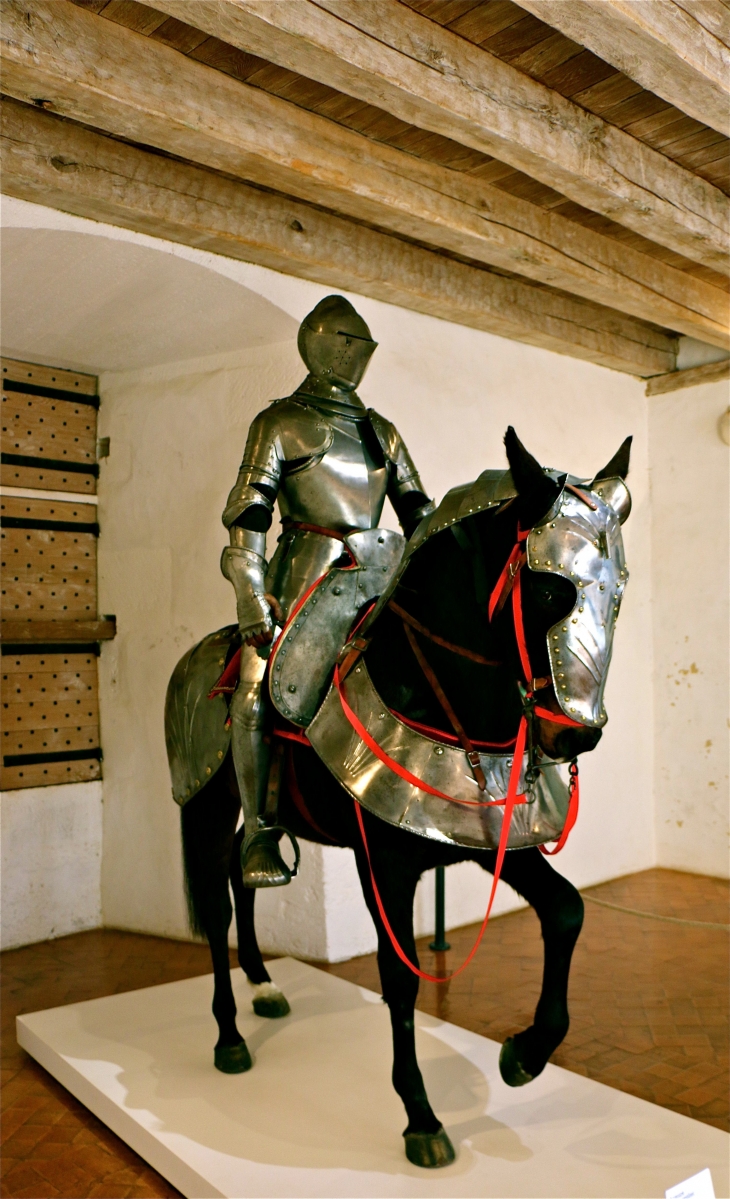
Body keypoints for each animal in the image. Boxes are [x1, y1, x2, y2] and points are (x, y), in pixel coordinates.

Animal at [172, 426, 628, 1165]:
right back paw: (230, 1036)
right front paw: (420, 1116)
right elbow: (401, 974)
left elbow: (567, 911)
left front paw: (524, 1054)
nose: (575, 732)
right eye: (547, 589)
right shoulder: (382, 861)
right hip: (203, 804)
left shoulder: (485, 839)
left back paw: (265, 985)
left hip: (255, 812)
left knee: (248, 870)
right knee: (214, 906)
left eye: (615, 597)